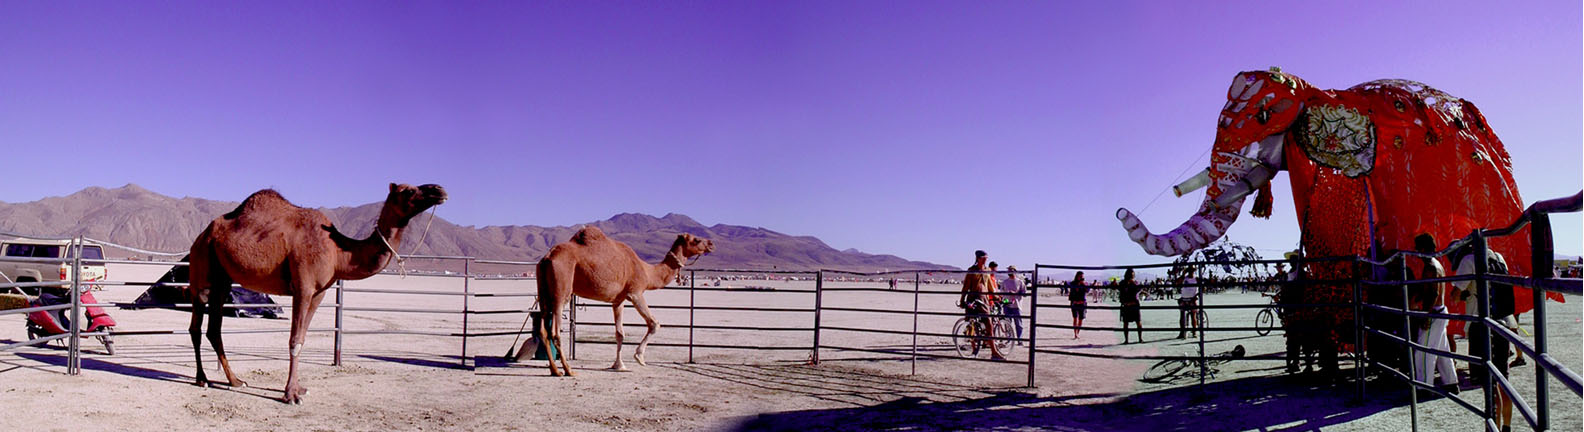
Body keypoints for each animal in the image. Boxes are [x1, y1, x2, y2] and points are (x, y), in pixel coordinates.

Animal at [186, 181, 446, 400]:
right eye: (408, 190)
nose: (439, 190)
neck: (339, 252)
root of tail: (201, 236)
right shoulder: (303, 286)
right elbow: (294, 340)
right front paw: (291, 394)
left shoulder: (319, 292)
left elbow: (302, 338)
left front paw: (299, 388)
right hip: (201, 270)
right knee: (196, 327)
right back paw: (203, 379)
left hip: (222, 280)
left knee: (214, 329)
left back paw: (235, 381)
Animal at [522, 226, 715, 375]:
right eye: (697, 239)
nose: (711, 244)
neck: (647, 271)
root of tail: (548, 258)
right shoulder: (636, 292)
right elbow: (654, 323)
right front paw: (639, 357)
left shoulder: (618, 300)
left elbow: (619, 333)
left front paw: (618, 365)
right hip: (561, 291)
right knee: (555, 331)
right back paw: (569, 370)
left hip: (543, 290)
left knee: (543, 329)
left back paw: (555, 370)